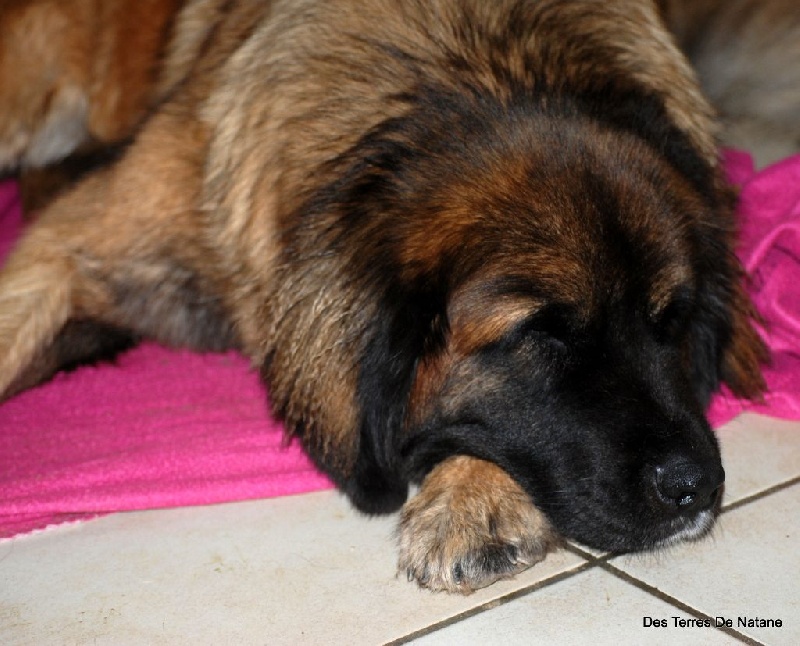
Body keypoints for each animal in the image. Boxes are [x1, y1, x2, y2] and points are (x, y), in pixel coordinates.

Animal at [1, 1, 792, 596]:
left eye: (671, 322)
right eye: (539, 335)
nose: (697, 487)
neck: (490, 63)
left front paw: (476, 497)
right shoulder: (73, 246)